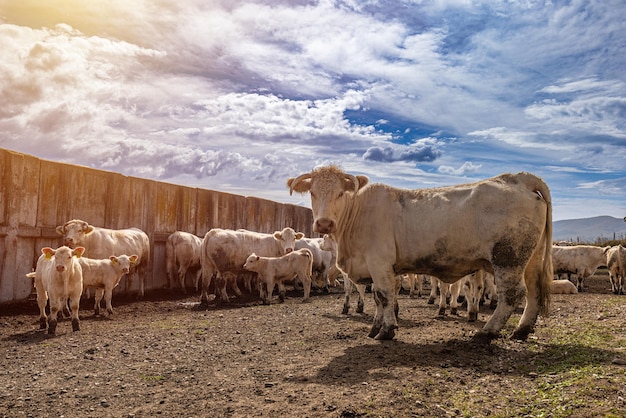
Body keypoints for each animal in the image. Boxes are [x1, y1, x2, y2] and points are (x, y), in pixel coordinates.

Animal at [288, 165, 552, 342]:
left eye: (340, 193)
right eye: (312, 192)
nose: (324, 223)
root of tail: (517, 178)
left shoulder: (379, 263)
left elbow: (384, 296)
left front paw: (386, 331)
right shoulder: (384, 268)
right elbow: (379, 298)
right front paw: (375, 328)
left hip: (508, 258)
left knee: (512, 294)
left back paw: (487, 333)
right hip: (531, 259)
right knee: (534, 292)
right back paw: (521, 330)